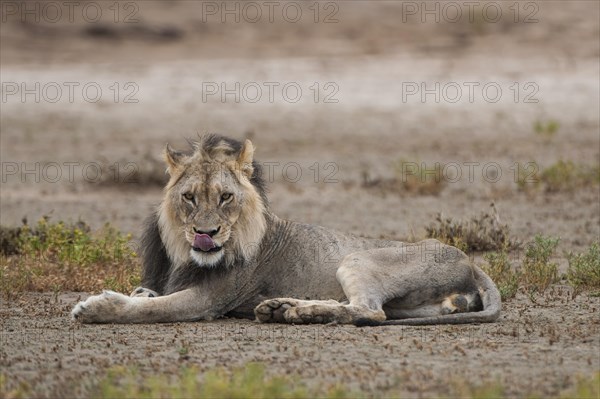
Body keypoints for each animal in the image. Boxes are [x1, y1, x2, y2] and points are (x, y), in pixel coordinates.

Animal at [71, 135, 502, 328]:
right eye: (190, 197)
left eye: (226, 196)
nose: (206, 234)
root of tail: (472, 263)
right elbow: (149, 295)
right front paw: (138, 292)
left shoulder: (208, 301)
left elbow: (154, 308)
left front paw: (96, 307)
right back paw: (282, 308)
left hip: (357, 257)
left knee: (370, 311)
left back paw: (295, 311)